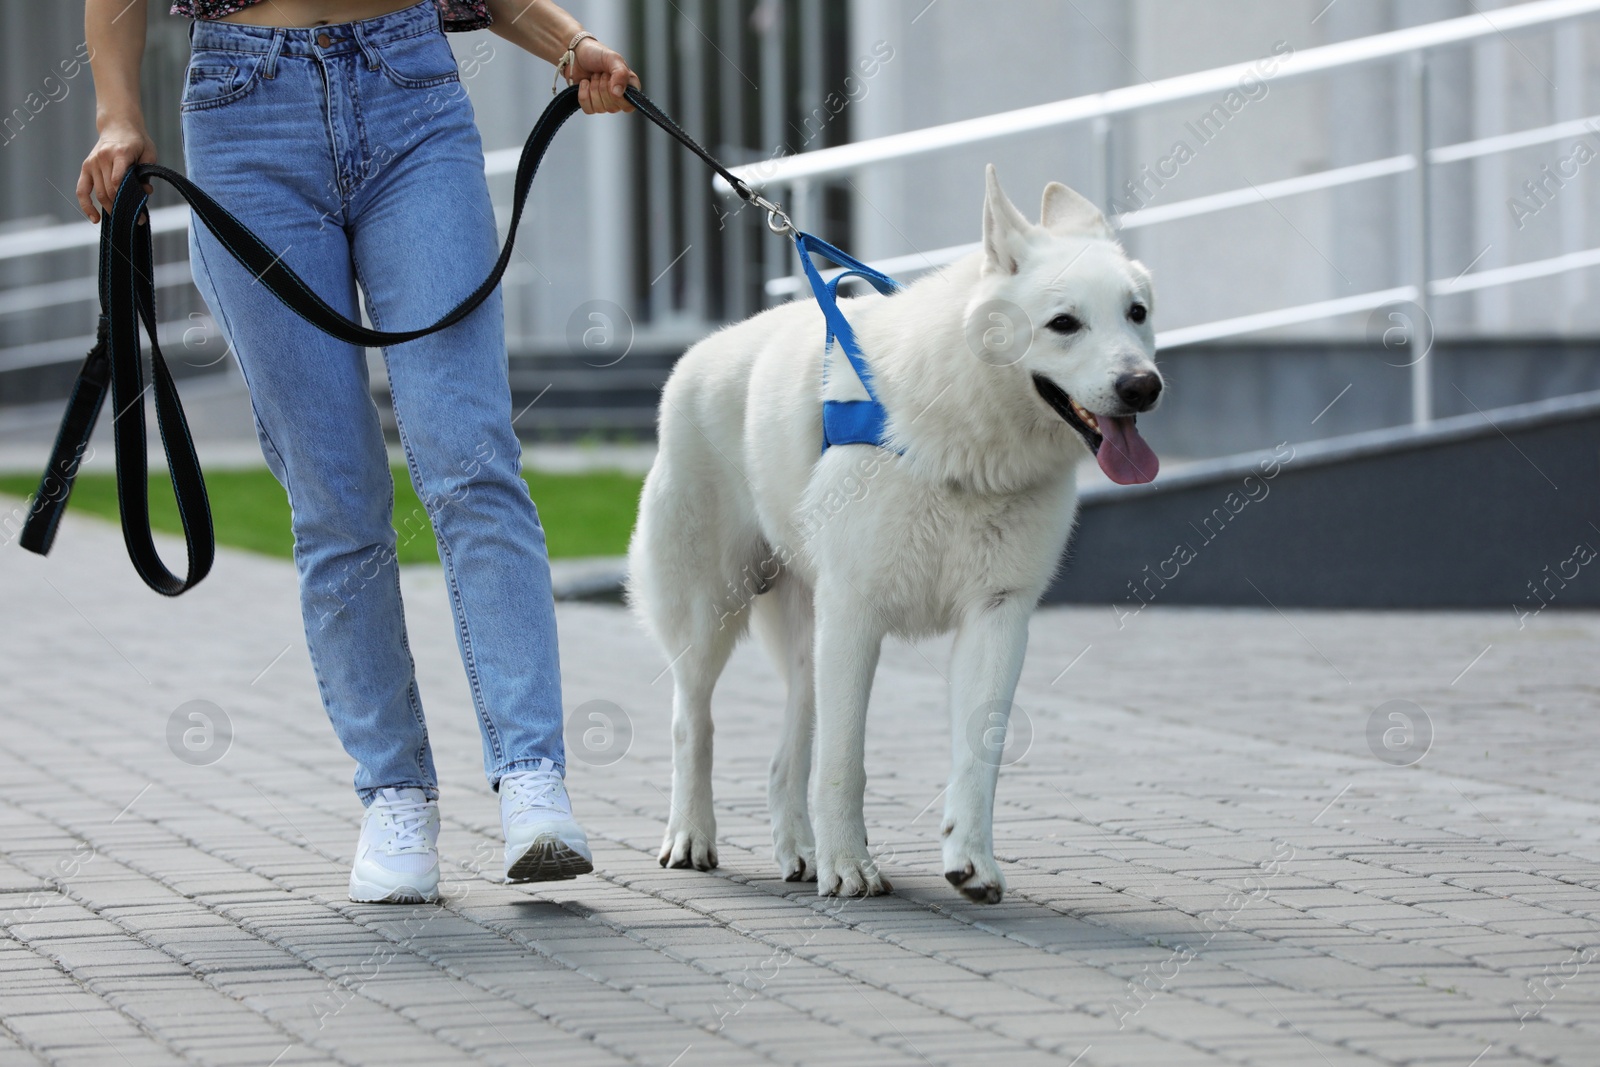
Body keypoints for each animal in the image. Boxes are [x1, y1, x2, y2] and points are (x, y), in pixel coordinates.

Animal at [624, 167, 1164, 902]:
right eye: (1064, 324)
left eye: (1136, 313)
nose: (1145, 387)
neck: (965, 443)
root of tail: (698, 353)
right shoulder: (856, 614)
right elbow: (843, 761)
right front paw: (849, 865)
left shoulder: (998, 615)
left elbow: (979, 752)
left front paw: (971, 859)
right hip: (713, 614)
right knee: (692, 721)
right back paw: (692, 836)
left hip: (808, 641)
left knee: (785, 756)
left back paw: (799, 851)